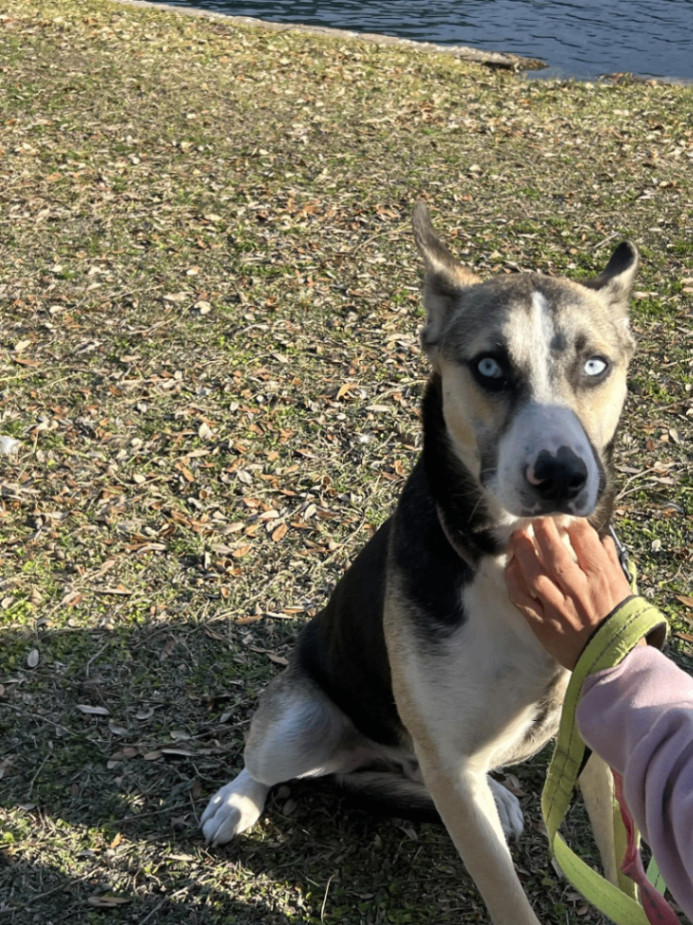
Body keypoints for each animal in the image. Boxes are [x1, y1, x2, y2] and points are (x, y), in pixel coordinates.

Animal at [200, 204, 636, 924]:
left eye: (596, 365)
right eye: (488, 366)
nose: (560, 476)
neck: (507, 558)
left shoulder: (594, 738)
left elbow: (622, 874)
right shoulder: (449, 766)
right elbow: (507, 896)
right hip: (301, 722)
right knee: (264, 761)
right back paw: (234, 800)